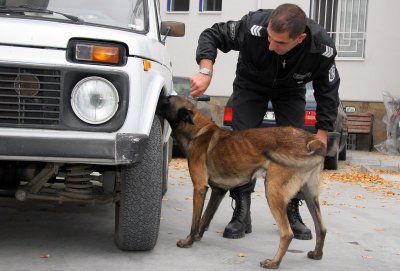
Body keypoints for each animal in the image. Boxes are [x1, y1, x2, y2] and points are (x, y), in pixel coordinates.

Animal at [158, 95, 326, 270]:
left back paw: (274, 262)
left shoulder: (199, 188)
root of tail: (311, 140)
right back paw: (316, 254)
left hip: (273, 192)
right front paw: (197, 237)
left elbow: (195, 220)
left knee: (287, 233)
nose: (159, 98)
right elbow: (205, 218)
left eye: (167, 100)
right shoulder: (218, 191)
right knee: (321, 228)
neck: (198, 130)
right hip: (310, 196)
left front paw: (188, 240)